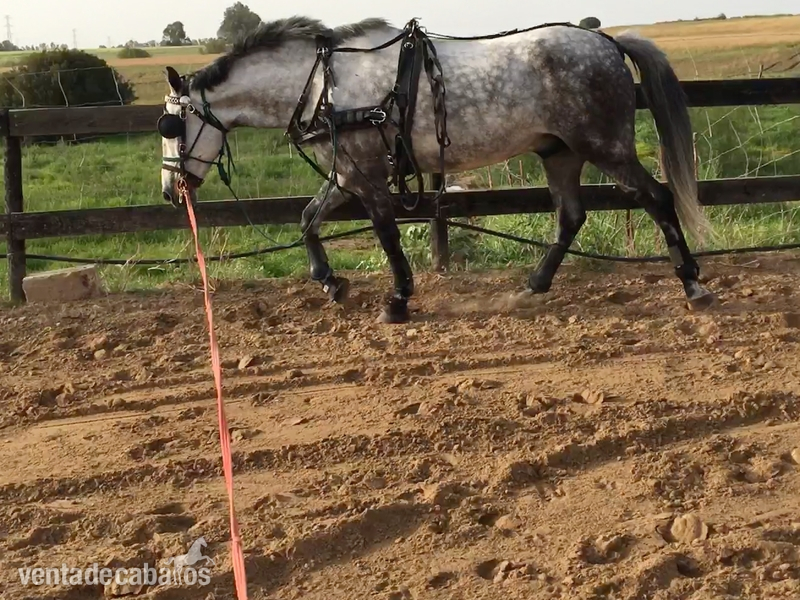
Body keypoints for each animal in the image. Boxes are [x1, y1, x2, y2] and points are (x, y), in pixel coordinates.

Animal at [157, 16, 717, 324]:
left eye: (171, 124)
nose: (170, 189)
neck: (321, 84)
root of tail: (609, 44)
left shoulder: (367, 176)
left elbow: (386, 234)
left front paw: (398, 299)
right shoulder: (346, 173)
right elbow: (307, 219)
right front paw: (330, 282)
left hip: (605, 146)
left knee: (657, 199)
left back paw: (694, 286)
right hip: (559, 153)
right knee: (570, 216)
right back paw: (532, 287)